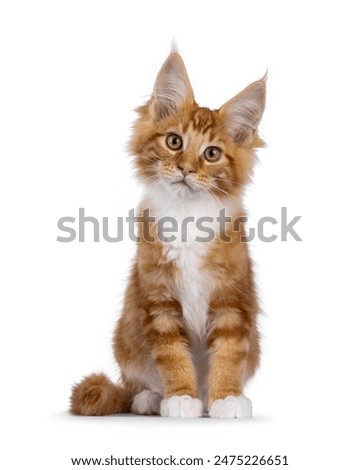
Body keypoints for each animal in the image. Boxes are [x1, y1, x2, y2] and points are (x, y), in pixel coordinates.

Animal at [70, 47, 266, 418]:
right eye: (175, 142)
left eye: (212, 153)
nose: (186, 168)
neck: (187, 216)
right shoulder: (159, 300)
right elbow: (173, 357)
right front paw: (180, 398)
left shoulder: (232, 300)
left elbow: (230, 354)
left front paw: (226, 398)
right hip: (127, 337)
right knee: (136, 384)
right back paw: (150, 399)